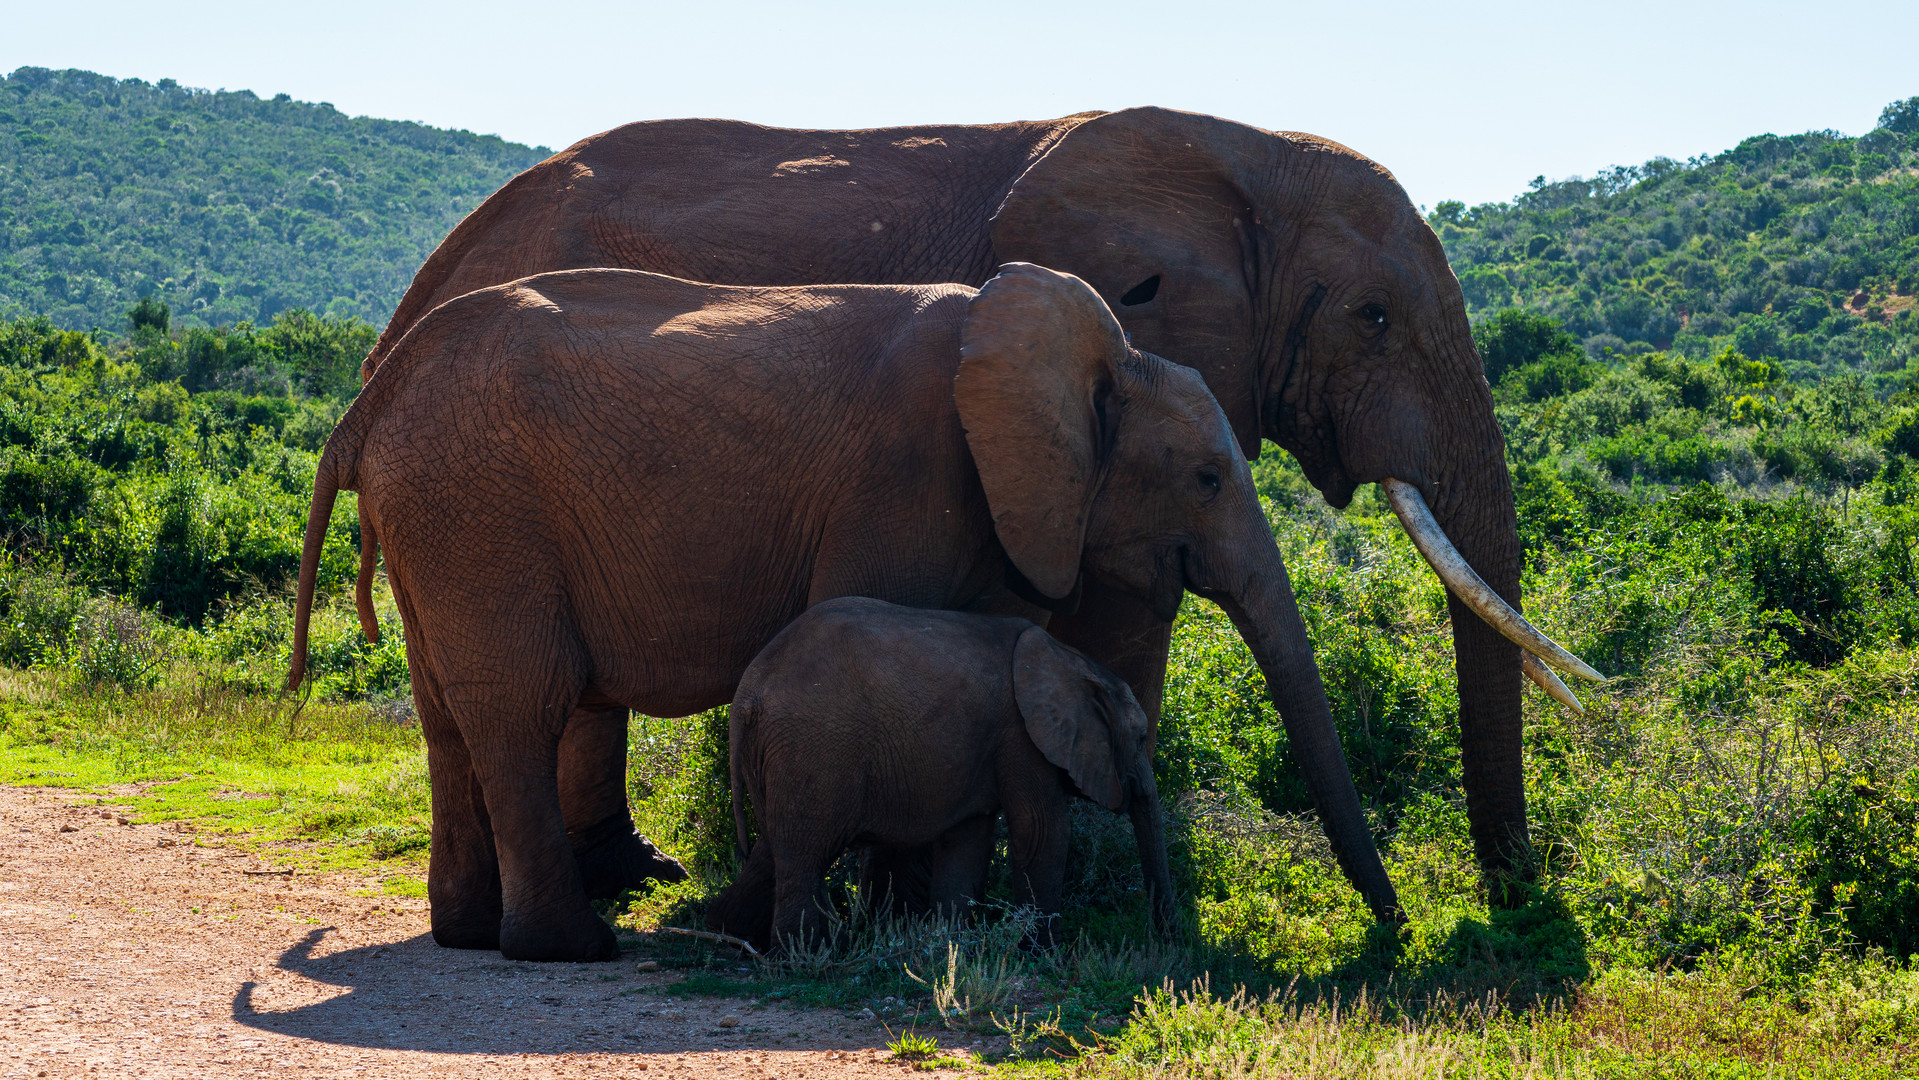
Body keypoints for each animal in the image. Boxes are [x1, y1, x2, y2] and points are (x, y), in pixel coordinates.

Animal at [710, 590, 1166, 955]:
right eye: (1142, 737)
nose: (1163, 936)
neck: (1074, 661)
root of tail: (748, 693)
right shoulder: (1020, 735)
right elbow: (1041, 831)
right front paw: (1044, 955)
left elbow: (967, 841)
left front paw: (951, 946)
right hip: (814, 748)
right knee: (804, 853)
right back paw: (808, 958)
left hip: (778, 753)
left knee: (781, 846)